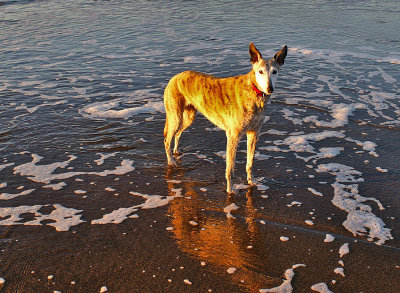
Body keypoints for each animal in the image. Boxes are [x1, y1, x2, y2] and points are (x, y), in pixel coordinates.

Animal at [163, 42, 288, 192]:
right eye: (260, 72)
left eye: (275, 71)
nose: (270, 89)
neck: (252, 90)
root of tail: (175, 77)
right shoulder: (233, 135)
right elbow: (230, 168)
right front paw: (230, 190)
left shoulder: (253, 133)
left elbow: (250, 163)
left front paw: (251, 182)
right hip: (175, 116)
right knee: (167, 139)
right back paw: (171, 161)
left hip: (188, 116)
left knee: (177, 134)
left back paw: (176, 152)